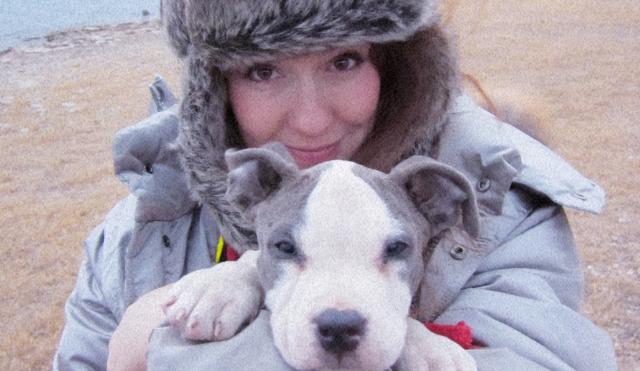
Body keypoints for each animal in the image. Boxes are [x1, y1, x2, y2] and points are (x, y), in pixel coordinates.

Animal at [165, 144, 476, 370]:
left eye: (397, 248)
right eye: (284, 247)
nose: (339, 328)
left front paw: (431, 349)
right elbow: (251, 260)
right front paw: (215, 289)